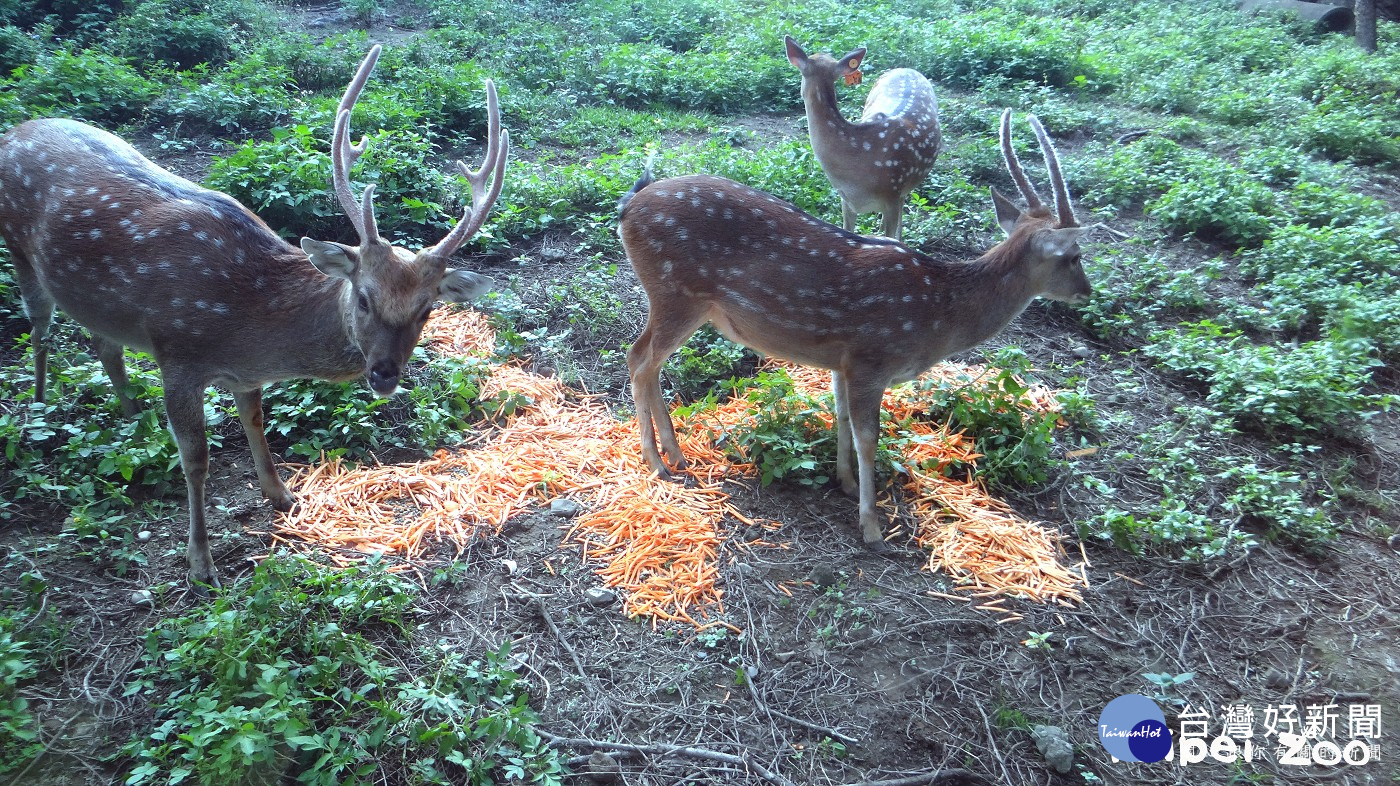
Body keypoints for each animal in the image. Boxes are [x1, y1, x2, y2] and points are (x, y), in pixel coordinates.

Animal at [0, 45, 512, 588]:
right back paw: (38, 409)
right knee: (40, 329)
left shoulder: (243, 375)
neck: (246, 322)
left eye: (427, 308)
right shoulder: (176, 352)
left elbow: (255, 421)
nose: (384, 374)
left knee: (103, 344)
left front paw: (282, 494)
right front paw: (200, 562)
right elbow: (196, 460)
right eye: (363, 297)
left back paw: (133, 416)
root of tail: (15, 130)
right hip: (18, 250)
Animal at [624, 110, 1092, 549]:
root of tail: (626, 211)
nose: (1086, 292)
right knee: (639, 359)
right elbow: (869, 437)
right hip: (676, 292)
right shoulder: (873, 356)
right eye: (1075, 256)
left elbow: (841, 415)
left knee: (649, 361)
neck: (939, 313)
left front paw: (845, 483)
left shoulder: (842, 359)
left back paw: (676, 455)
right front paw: (872, 527)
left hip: (681, 301)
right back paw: (658, 462)